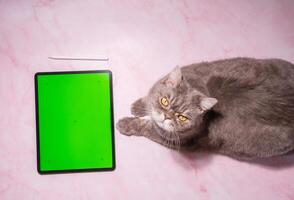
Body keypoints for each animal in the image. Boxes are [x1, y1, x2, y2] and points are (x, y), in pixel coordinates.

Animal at [116, 57, 294, 159]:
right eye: (165, 101)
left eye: (182, 117)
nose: (166, 117)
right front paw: (140, 105)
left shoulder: (179, 140)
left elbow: (146, 127)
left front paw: (126, 123)